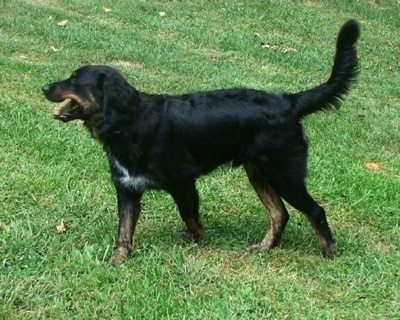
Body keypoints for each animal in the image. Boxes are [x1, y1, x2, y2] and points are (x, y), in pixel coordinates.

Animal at [43, 20, 360, 264]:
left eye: (74, 80)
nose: (44, 86)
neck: (129, 124)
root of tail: (289, 102)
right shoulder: (127, 188)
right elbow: (124, 230)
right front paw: (118, 259)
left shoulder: (183, 182)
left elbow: (190, 216)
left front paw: (196, 239)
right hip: (259, 172)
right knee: (279, 213)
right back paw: (265, 247)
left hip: (284, 174)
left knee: (315, 211)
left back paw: (328, 251)